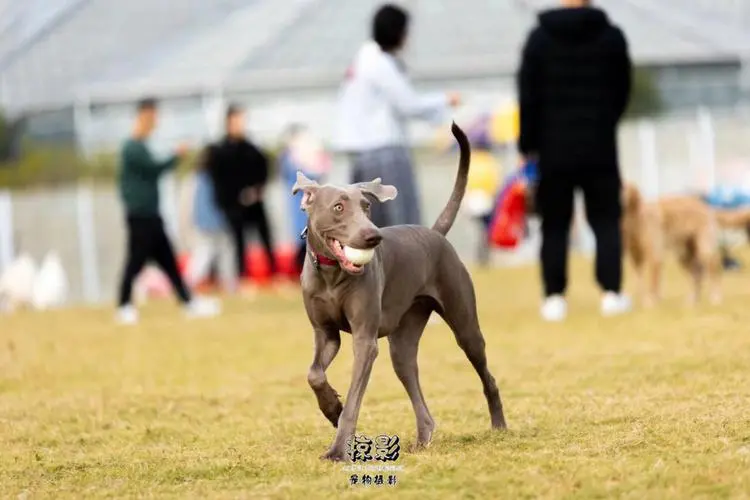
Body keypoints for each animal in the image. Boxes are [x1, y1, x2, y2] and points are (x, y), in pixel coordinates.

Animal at [290, 122, 508, 460]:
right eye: (338, 207)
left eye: (366, 206)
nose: (372, 236)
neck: (332, 273)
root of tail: (434, 233)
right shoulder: (325, 334)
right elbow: (314, 374)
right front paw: (331, 408)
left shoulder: (365, 341)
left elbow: (354, 400)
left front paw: (338, 449)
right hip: (403, 342)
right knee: (411, 378)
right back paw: (422, 438)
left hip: (465, 325)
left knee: (487, 374)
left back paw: (498, 425)